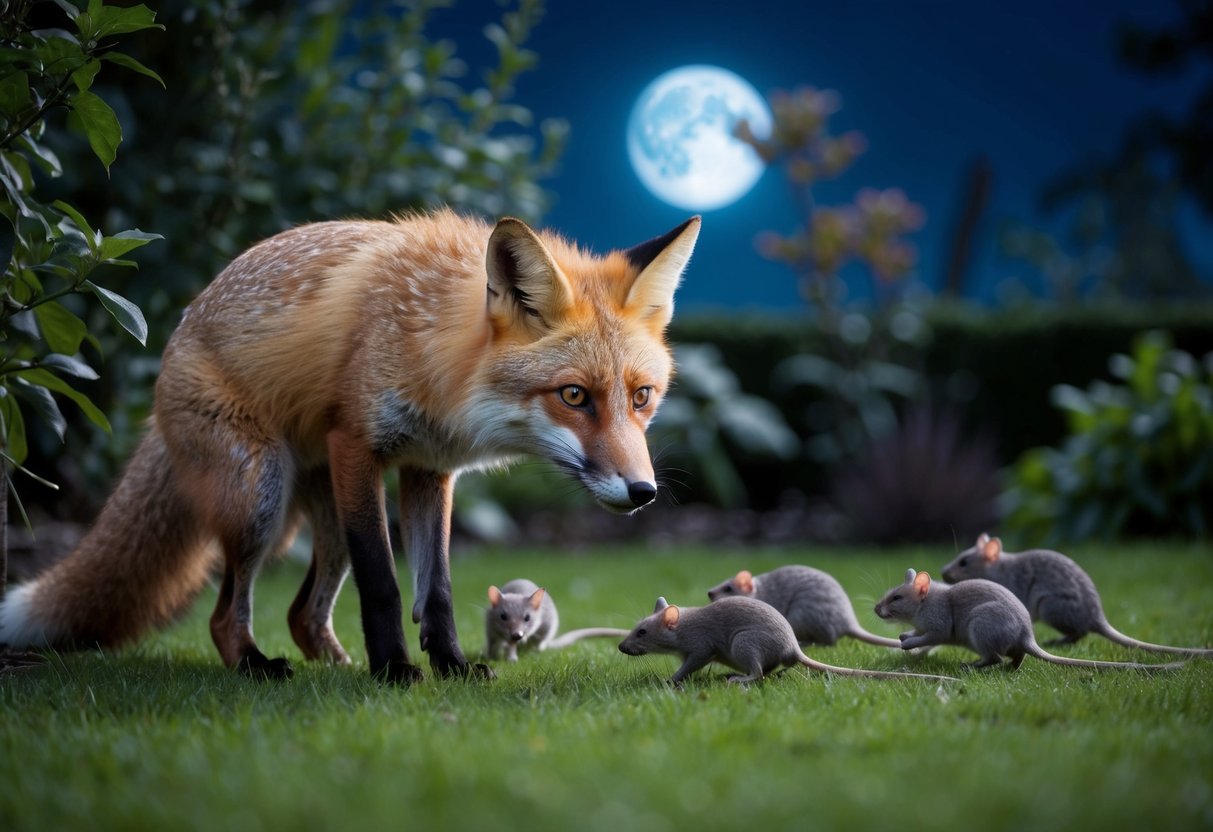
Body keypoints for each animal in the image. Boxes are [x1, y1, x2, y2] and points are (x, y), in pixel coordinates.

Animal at [0, 209, 700, 684]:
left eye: (641, 397)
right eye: (575, 396)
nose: (643, 492)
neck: (433, 352)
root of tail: (168, 356)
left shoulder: (428, 469)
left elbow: (437, 590)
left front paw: (450, 667)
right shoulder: (358, 447)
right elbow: (385, 584)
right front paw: (394, 670)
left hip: (323, 520)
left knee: (303, 614)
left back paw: (334, 668)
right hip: (261, 500)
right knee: (226, 613)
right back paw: (258, 665)